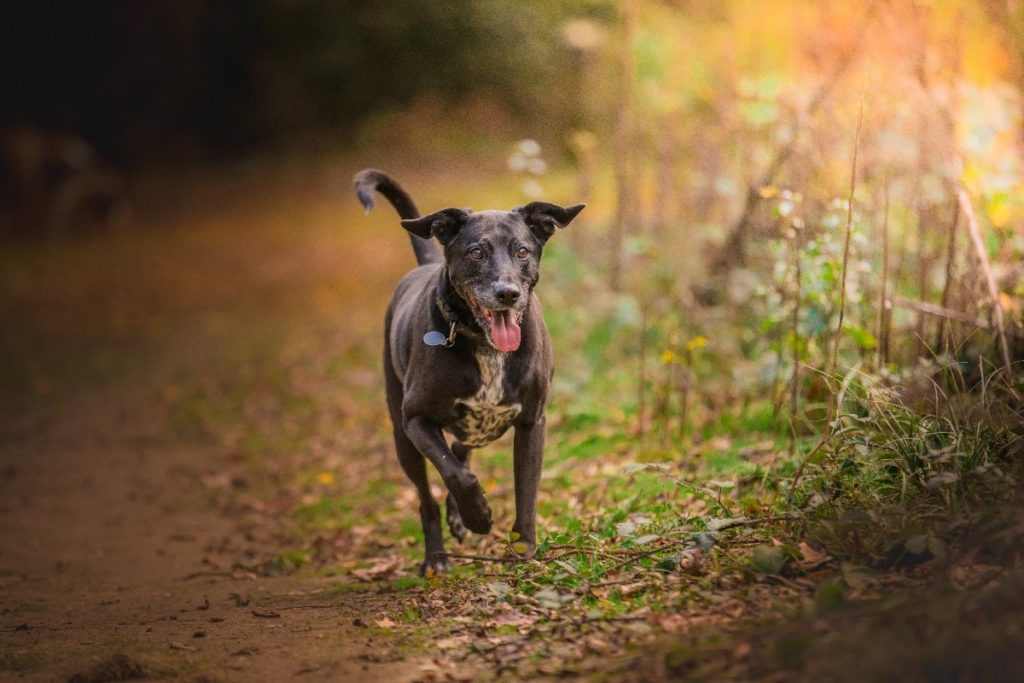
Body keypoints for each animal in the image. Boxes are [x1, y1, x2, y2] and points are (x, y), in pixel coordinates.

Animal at [354, 167, 585, 573]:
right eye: (476, 252)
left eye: (522, 251)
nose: (507, 293)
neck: (485, 344)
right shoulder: (416, 420)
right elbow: (454, 473)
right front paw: (478, 515)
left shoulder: (532, 422)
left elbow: (526, 488)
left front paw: (523, 547)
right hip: (402, 436)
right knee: (427, 495)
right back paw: (436, 556)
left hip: (474, 428)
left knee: (461, 449)